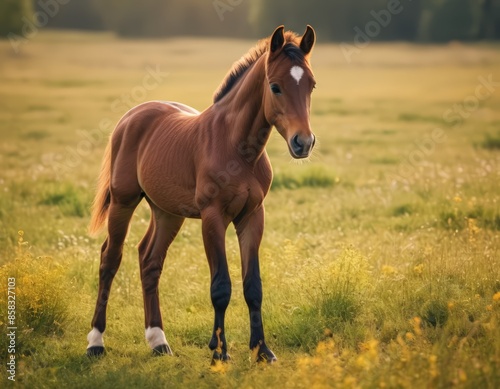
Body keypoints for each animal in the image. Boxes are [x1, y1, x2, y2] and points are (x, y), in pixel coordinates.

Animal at [86, 25, 316, 362]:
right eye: (275, 87)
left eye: (311, 85)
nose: (304, 142)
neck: (237, 149)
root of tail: (131, 116)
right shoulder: (213, 217)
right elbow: (221, 286)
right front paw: (219, 352)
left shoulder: (252, 216)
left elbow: (253, 286)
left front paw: (262, 350)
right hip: (122, 202)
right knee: (110, 259)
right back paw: (95, 342)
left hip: (167, 212)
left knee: (149, 260)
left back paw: (158, 340)